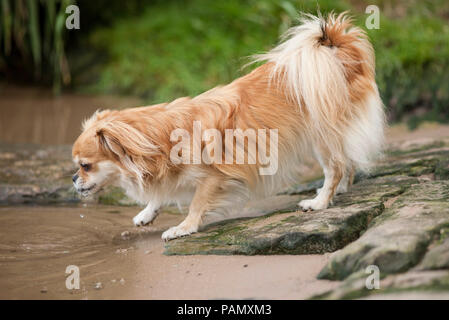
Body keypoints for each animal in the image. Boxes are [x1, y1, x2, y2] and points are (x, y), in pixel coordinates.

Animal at [72, 13, 384, 241]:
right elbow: (162, 194)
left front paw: (183, 227)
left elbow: (197, 202)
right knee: (347, 161)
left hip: (321, 136)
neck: (159, 140)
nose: (74, 179)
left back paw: (319, 202)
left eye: (85, 166)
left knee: (336, 166)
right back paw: (338, 191)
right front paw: (147, 214)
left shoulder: (215, 176)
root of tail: (337, 50)